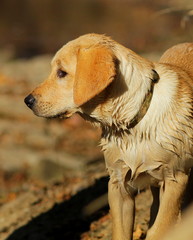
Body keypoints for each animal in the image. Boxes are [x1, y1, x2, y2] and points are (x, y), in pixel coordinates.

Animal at [24, 34, 193, 240]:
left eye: (62, 73)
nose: (27, 101)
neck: (131, 125)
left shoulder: (175, 179)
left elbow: (160, 229)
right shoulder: (118, 185)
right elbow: (121, 232)